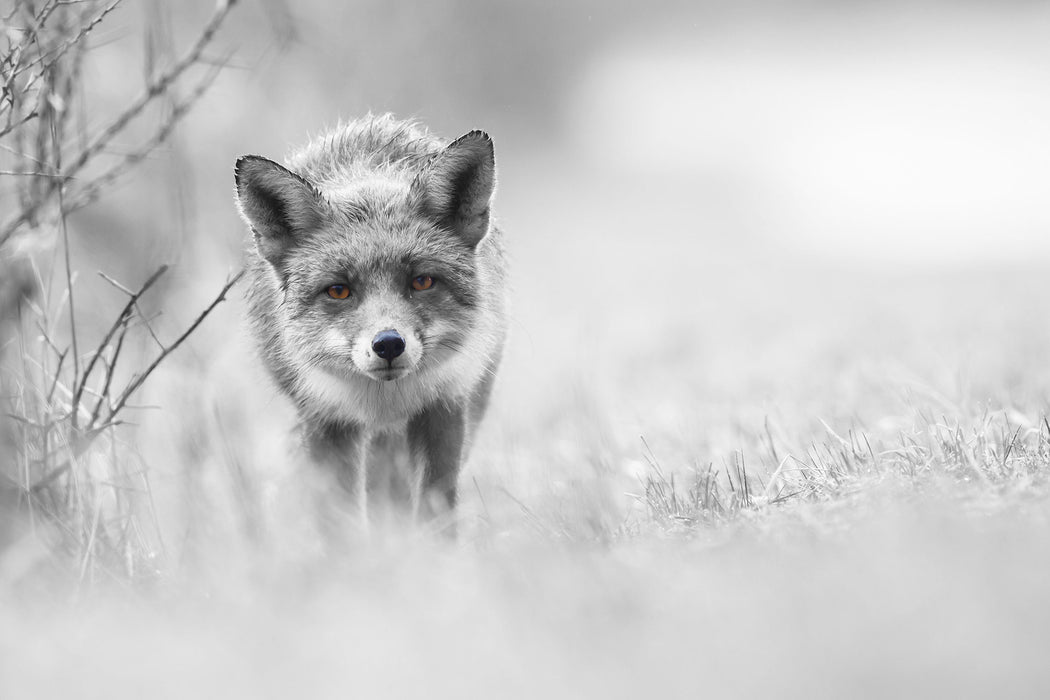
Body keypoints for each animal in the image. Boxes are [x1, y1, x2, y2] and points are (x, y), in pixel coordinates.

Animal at [233, 112, 508, 522]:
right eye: (338, 290)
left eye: (422, 281)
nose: (389, 344)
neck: (385, 401)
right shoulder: (325, 420)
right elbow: (340, 520)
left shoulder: (444, 407)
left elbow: (435, 512)